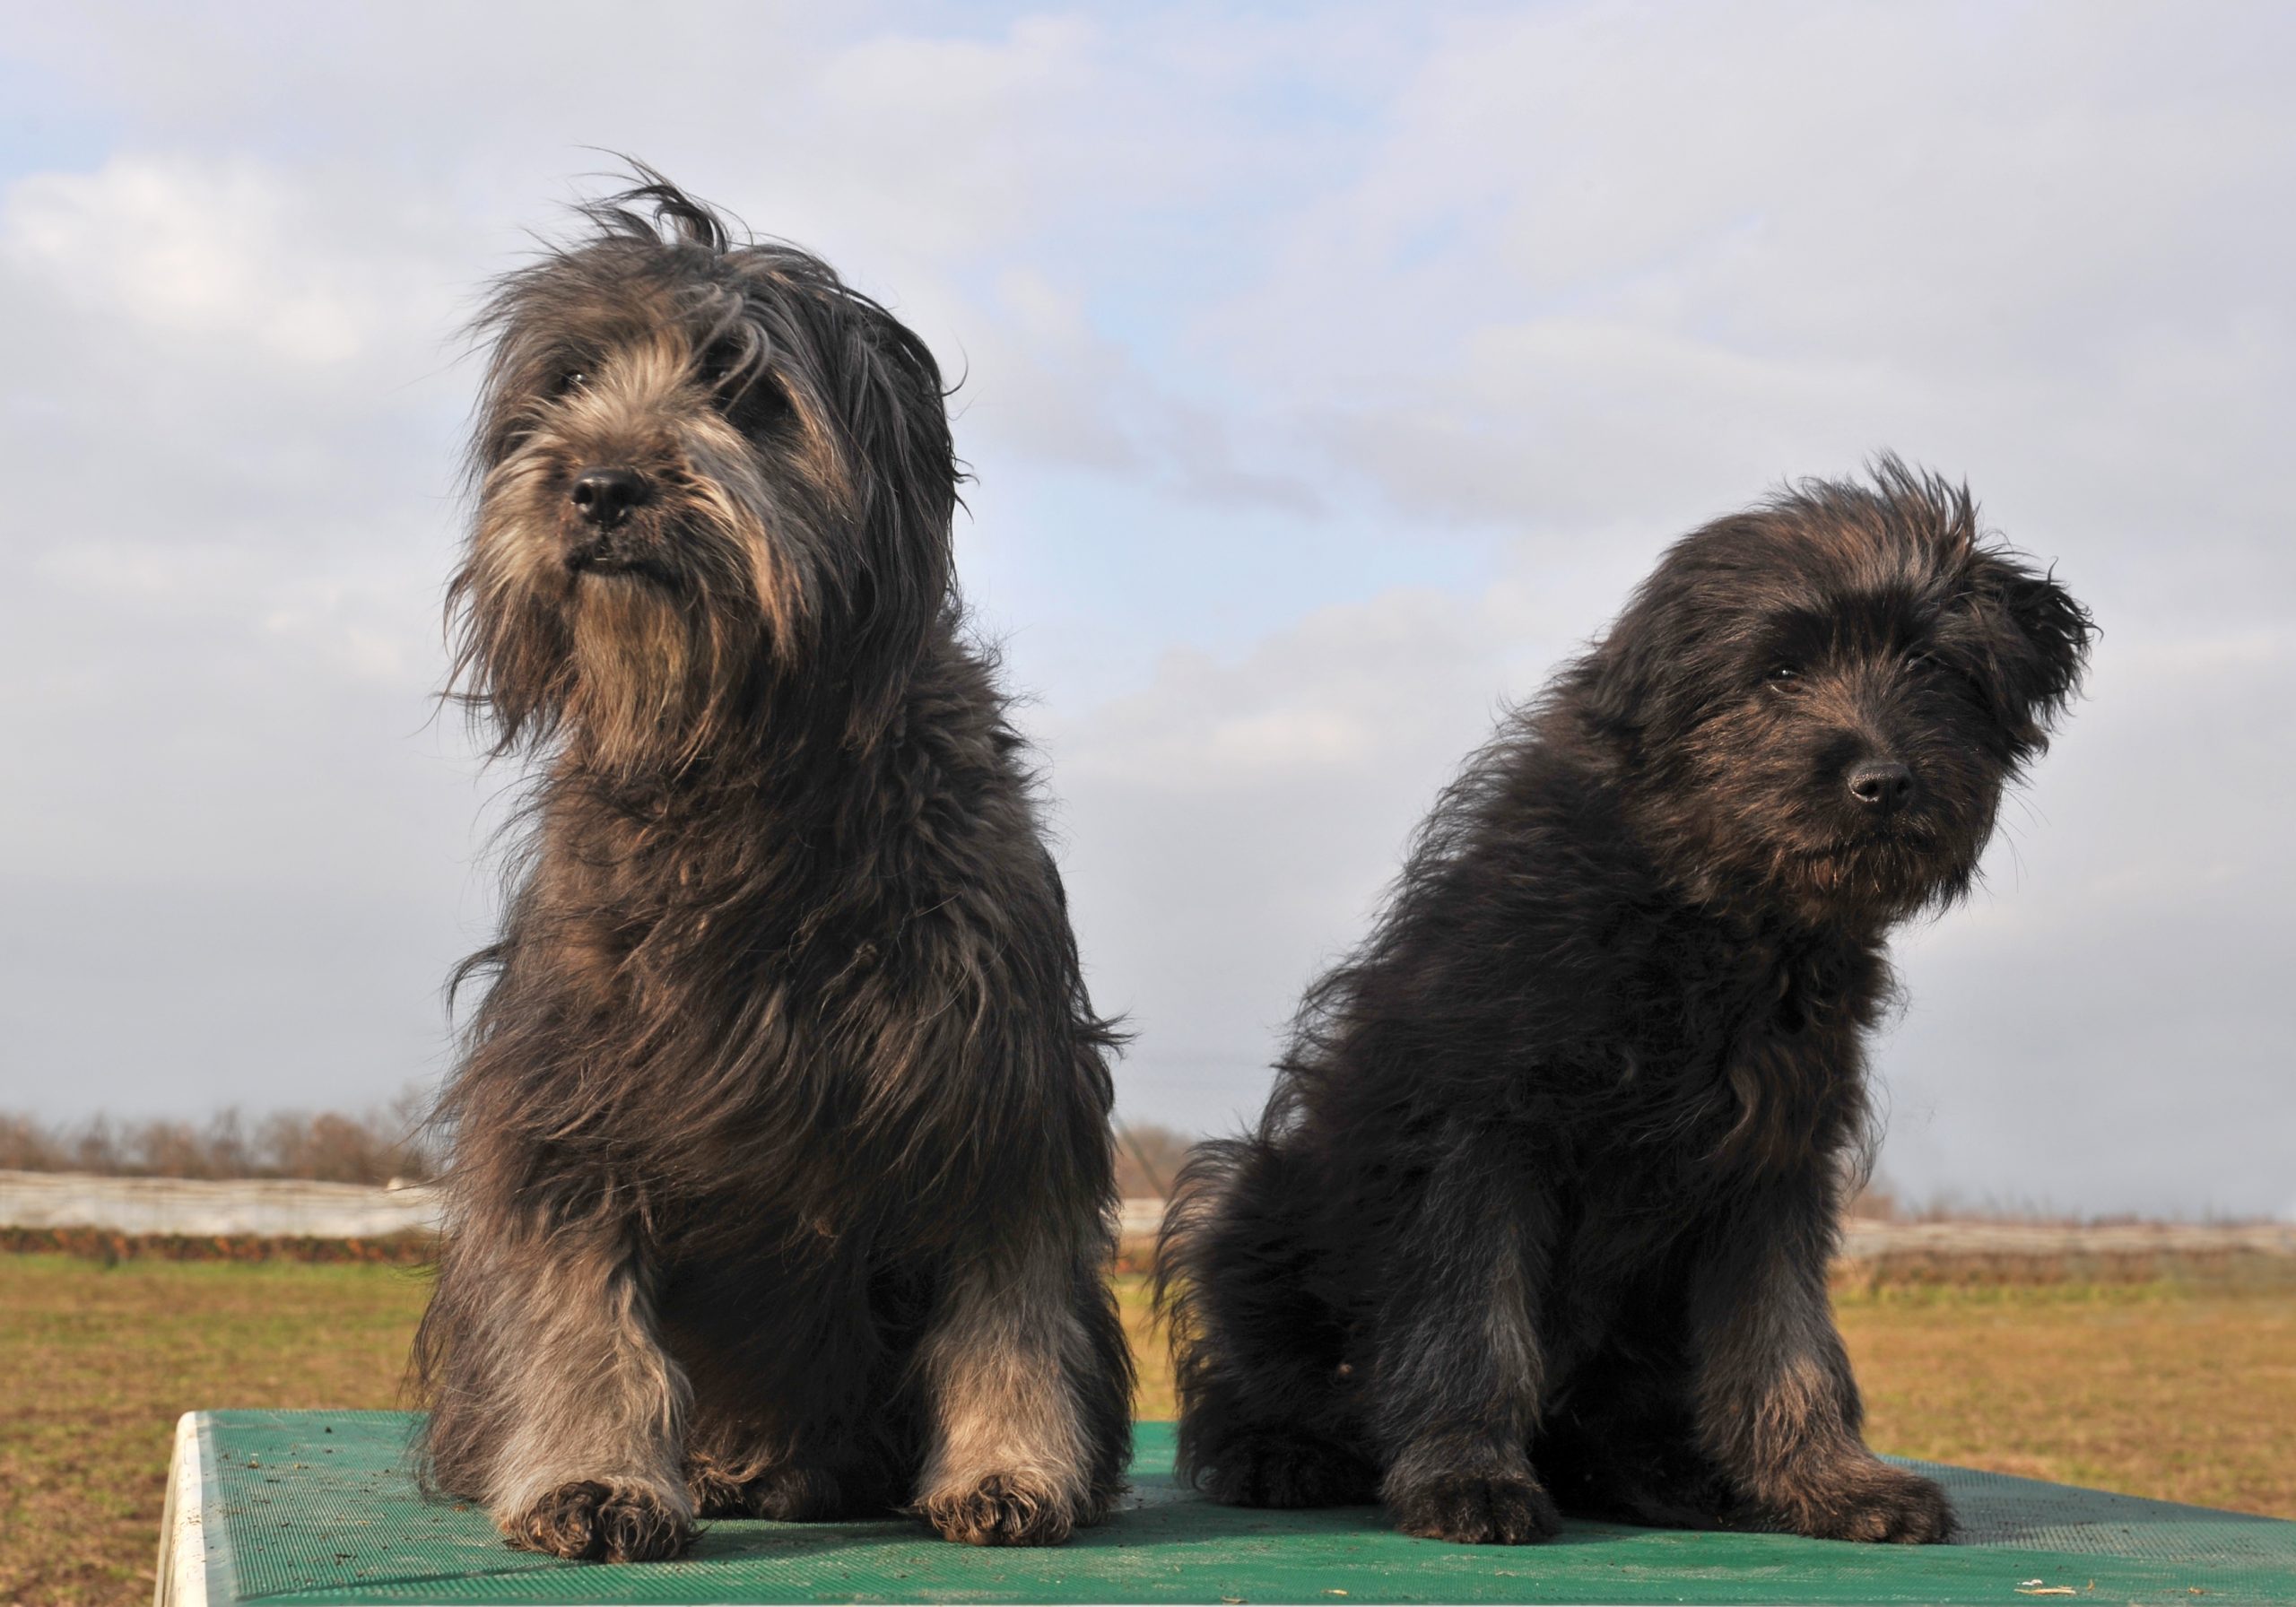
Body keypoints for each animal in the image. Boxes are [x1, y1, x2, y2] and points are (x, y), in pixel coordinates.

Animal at [417, 172, 1134, 1560]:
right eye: (567, 383)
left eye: (744, 389)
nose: (598, 488)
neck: (741, 758)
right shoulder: (568, 1092)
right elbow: (582, 1312)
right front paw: (593, 1475)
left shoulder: (1000, 1077)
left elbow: (1009, 1304)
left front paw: (1011, 1465)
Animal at [1157, 464, 2093, 1542]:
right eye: (1779, 671)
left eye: (1933, 668)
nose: (1883, 781)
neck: (1703, 909)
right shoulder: (1481, 1131)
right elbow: (1472, 1324)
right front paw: (1467, 1475)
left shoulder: (1773, 1157)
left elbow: (1786, 1338)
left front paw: (1829, 1478)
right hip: (1247, 1199)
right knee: (1251, 1375)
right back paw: (1275, 1450)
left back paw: (1662, 1472)